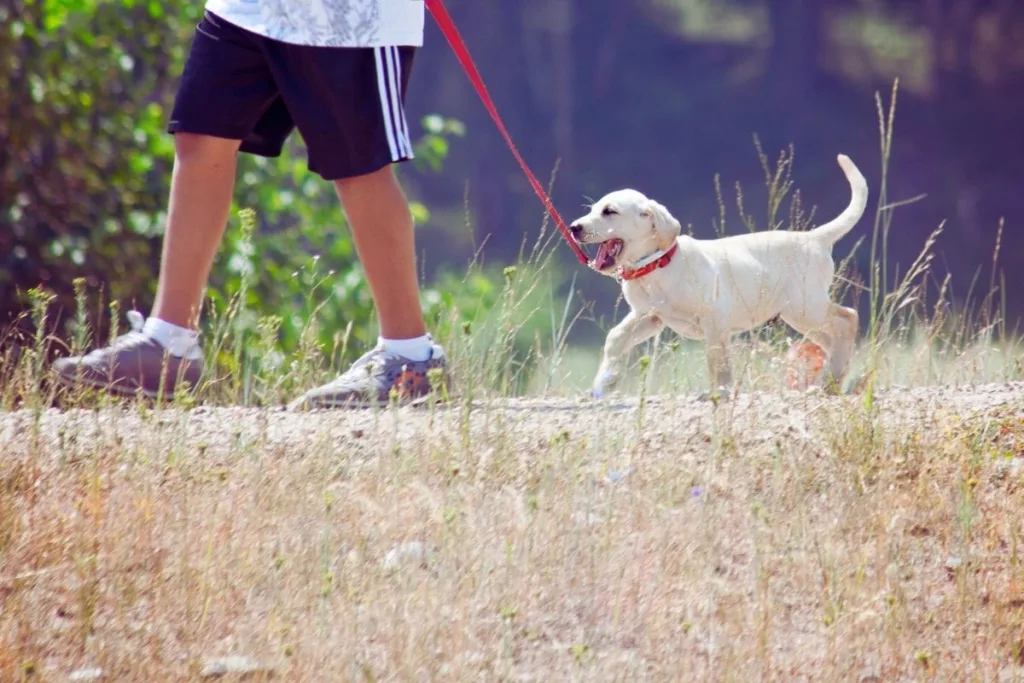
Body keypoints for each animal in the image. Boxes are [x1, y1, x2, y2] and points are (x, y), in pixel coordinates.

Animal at [573, 152, 868, 397]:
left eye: (609, 211)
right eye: (592, 210)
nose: (574, 227)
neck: (657, 266)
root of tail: (815, 238)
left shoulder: (714, 317)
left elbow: (718, 359)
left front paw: (721, 392)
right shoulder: (649, 316)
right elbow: (615, 338)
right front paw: (603, 382)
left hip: (806, 307)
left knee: (848, 318)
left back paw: (831, 378)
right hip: (799, 315)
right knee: (833, 337)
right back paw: (834, 379)